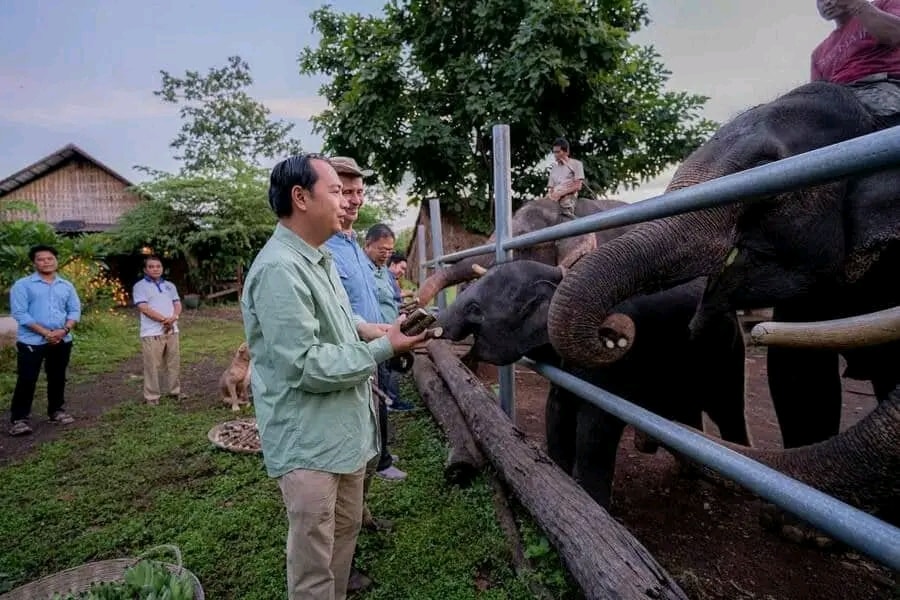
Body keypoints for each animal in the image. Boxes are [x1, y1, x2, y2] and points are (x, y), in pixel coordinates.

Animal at [434, 260, 744, 508]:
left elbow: (595, 428)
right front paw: (560, 478)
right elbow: (556, 412)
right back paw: (691, 472)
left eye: (475, 309)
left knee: (728, 412)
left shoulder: (612, 368)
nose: (433, 327)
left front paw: (596, 505)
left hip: (727, 355)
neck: (560, 280)